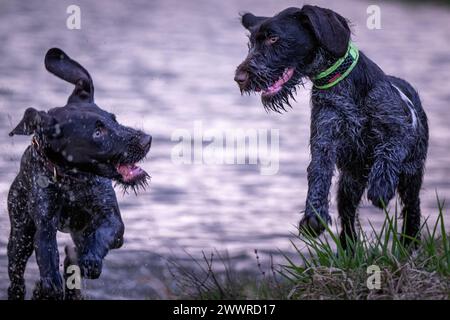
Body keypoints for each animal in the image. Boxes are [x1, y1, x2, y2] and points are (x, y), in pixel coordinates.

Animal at [7, 48, 151, 300]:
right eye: (97, 132)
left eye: (114, 119)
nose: (146, 140)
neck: (73, 181)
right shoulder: (44, 224)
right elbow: (48, 258)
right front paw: (48, 285)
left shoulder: (112, 222)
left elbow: (98, 240)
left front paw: (89, 261)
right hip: (20, 232)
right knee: (16, 275)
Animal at [236, 5, 428, 248]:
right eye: (250, 44)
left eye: (273, 38)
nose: (239, 78)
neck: (340, 85)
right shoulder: (324, 140)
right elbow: (318, 174)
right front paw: (314, 216)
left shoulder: (402, 128)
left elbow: (389, 149)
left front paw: (381, 185)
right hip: (349, 185)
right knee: (348, 220)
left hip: (411, 175)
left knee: (412, 209)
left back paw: (409, 243)